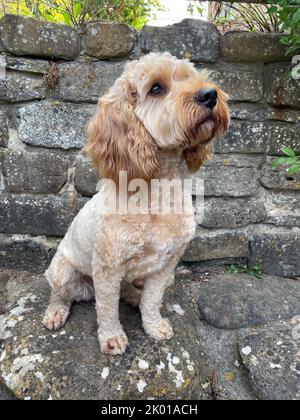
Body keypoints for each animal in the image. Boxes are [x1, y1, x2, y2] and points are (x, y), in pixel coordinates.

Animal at [42, 51, 230, 354]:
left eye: (189, 76)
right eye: (156, 88)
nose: (210, 94)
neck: (159, 192)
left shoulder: (166, 264)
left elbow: (152, 300)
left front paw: (153, 325)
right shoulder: (108, 267)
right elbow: (107, 309)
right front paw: (112, 338)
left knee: (125, 290)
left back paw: (132, 296)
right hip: (61, 271)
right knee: (61, 294)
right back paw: (55, 312)